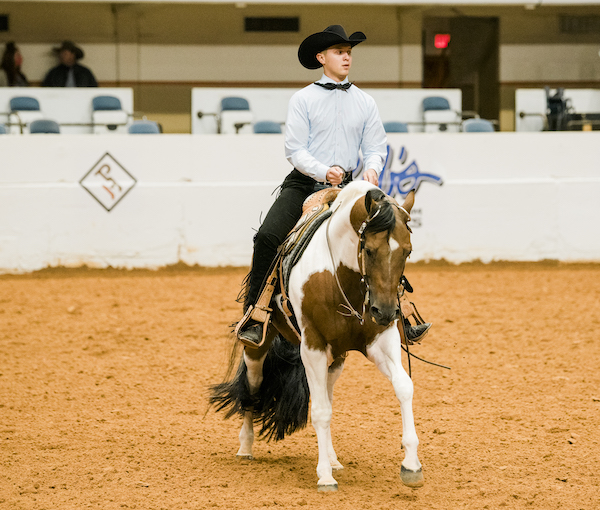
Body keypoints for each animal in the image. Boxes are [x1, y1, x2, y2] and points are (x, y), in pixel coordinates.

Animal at [211, 181, 422, 492]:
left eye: (407, 251)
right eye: (370, 250)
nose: (384, 312)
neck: (339, 276)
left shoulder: (381, 342)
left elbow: (404, 387)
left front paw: (411, 465)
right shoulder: (312, 347)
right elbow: (320, 411)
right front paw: (324, 477)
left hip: (337, 358)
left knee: (327, 396)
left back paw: (333, 459)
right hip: (259, 346)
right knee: (252, 386)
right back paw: (246, 447)